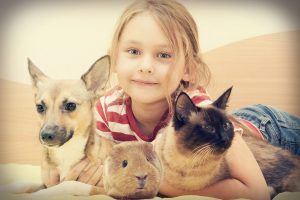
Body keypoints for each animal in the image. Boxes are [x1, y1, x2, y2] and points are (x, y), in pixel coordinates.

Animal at [0, 55, 115, 196]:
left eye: (70, 105)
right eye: (40, 107)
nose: (46, 136)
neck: (65, 151)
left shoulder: (106, 190)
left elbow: (69, 184)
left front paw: (37, 196)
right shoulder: (45, 183)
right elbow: (24, 183)